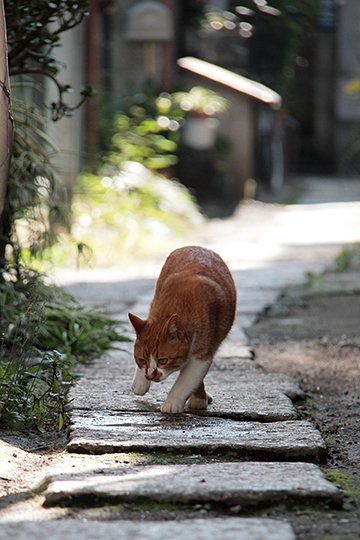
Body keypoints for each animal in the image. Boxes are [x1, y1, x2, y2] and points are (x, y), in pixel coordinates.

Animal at [129, 245, 236, 414]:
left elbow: (185, 381)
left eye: (163, 360)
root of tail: (194, 246)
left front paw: (175, 401)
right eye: (142, 360)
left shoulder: (201, 354)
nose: (150, 375)